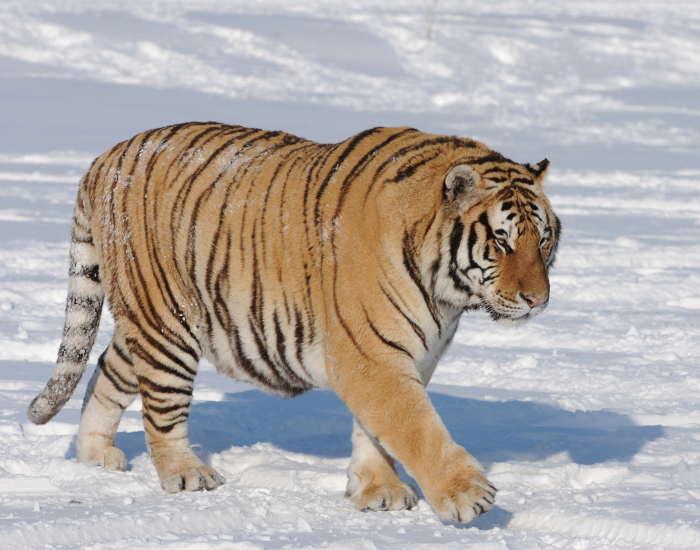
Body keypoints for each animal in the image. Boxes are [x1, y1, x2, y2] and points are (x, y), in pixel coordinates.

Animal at [28, 123, 560, 523]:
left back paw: (96, 457)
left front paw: (377, 491)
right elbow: (415, 426)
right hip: (167, 323)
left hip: (148, 322)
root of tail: (107, 157)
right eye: (502, 240)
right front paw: (467, 495)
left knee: (106, 368)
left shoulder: (409, 355)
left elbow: (378, 433)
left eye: (543, 240)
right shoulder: (372, 356)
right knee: (161, 406)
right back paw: (187, 475)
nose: (538, 299)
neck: (447, 293)